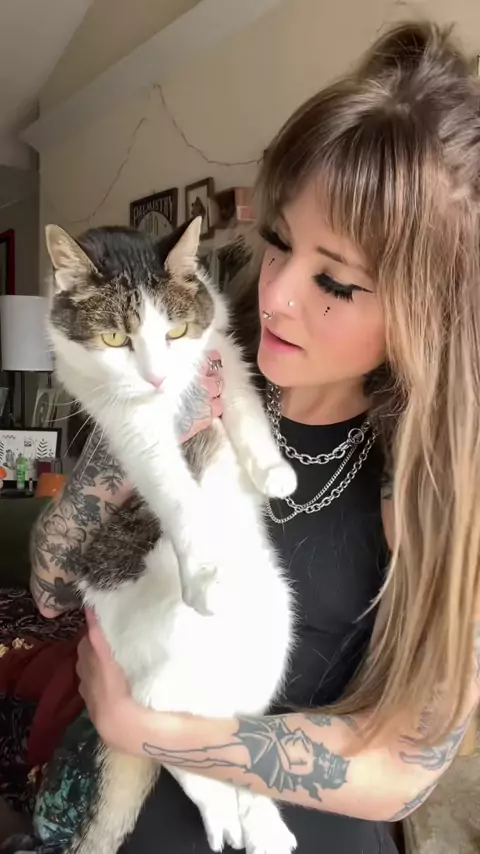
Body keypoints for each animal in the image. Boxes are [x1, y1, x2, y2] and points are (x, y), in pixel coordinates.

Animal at [44, 218, 297, 854]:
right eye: (115, 340)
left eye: (176, 331)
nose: (157, 378)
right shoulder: (126, 422)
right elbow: (173, 488)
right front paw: (201, 569)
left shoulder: (223, 354)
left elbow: (246, 410)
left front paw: (274, 471)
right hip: (157, 679)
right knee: (173, 739)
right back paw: (227, 819)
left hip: (273, 620)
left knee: (233, 741)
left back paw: (259, 823)